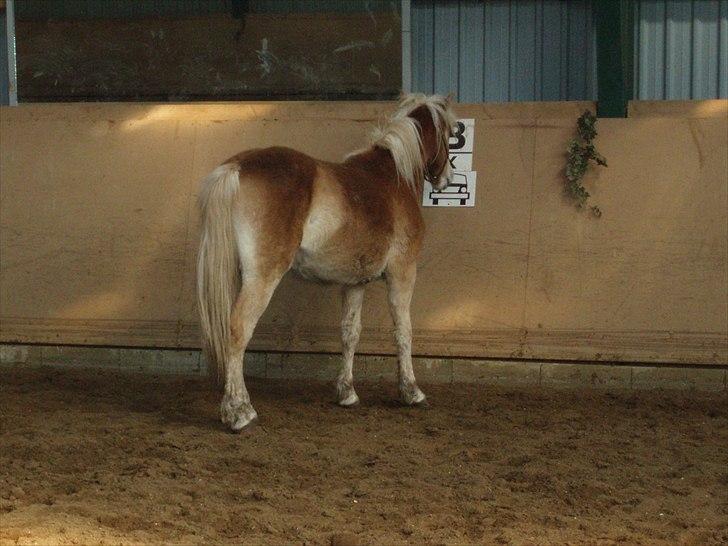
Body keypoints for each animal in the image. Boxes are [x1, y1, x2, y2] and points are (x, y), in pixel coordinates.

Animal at [193, 94, 456, 434]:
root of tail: (236, 167)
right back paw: (239, 412)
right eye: (450, 132)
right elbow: (403, 330)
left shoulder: (355, 283)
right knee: (239, 329)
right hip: (262, 278)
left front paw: (347, 392)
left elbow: (350, 332)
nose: (446, 178)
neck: (392, 177)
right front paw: (411, 391)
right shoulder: (402, 273)